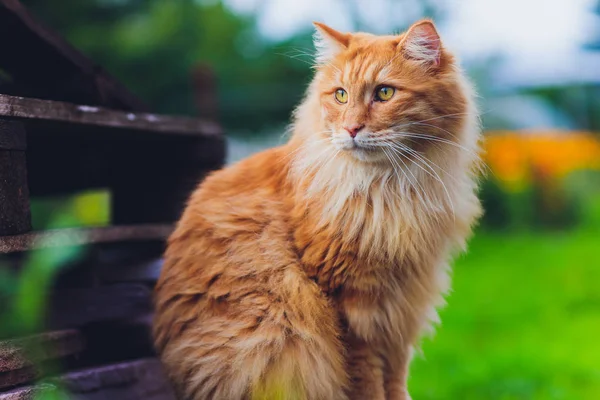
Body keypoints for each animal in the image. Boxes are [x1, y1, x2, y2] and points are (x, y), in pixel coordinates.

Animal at [154, 19, 482, 400]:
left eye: (385, 93)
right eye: (340, 95)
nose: (351, 129)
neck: (389, 190)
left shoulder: (403, 307)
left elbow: (396, 380)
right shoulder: (353, 308)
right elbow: (369, 383)